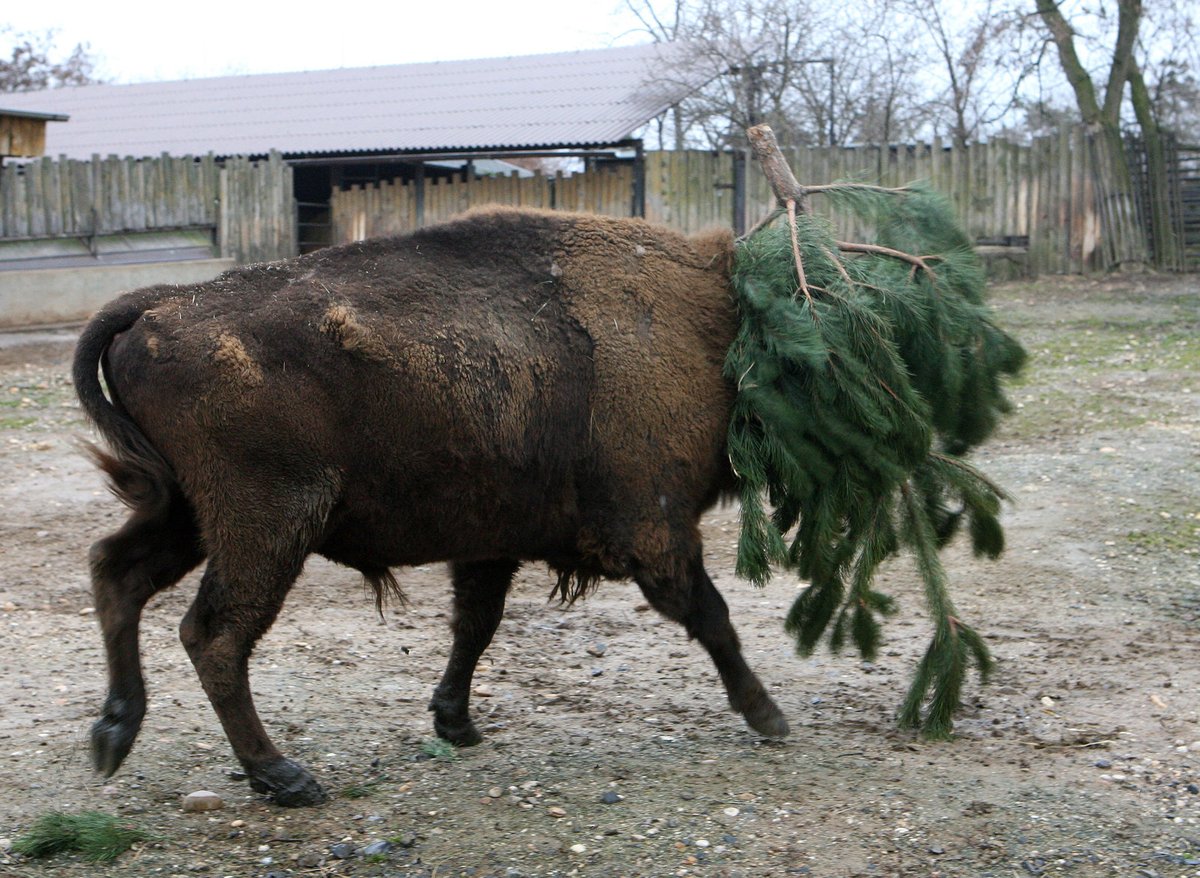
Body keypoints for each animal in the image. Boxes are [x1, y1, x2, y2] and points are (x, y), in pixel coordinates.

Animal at [72, 203, 787, 801]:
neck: (711, 329)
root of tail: (162, 305)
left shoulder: (491, 544)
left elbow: (475, 623)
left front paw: (455, 723)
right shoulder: (655, 530)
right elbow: (711, 615)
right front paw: (769, 716)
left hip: (188, 515)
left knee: (118, 572)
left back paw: (113, 735)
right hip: (266, 526)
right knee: (214, 634)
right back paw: (284, 776)